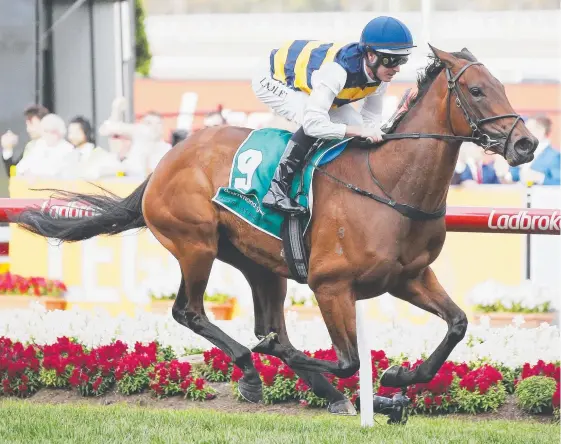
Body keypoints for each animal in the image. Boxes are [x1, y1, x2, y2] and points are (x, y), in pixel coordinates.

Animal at [15, 45, 536, 416]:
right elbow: (348, 359)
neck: (388, 185)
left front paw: (396, 381)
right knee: (191, 312)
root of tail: (166, 161)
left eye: (501, 85)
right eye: (477, 91)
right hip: (195, 244)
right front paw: (374, 388)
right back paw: (252, 371)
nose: (526, 143)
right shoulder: (331, 285)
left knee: (270, 328)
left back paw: (319, 388)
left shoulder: (409, 277)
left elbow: (457, 323)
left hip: (262, 264)